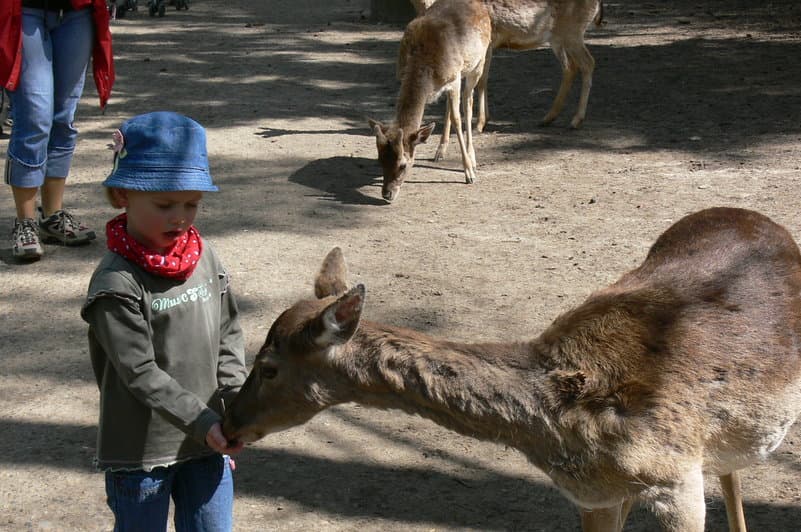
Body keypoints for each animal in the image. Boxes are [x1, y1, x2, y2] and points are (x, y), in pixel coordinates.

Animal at [370, 0, 494, 203]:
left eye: (403, 165)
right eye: (380, 159)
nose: (387, 194)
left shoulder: (454, 78)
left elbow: (458, 119)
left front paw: (469, 173)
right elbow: (451, 114)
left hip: (478, 63)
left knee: (467, 102)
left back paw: (473, 158)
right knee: (450, 108)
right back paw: (440, 151)